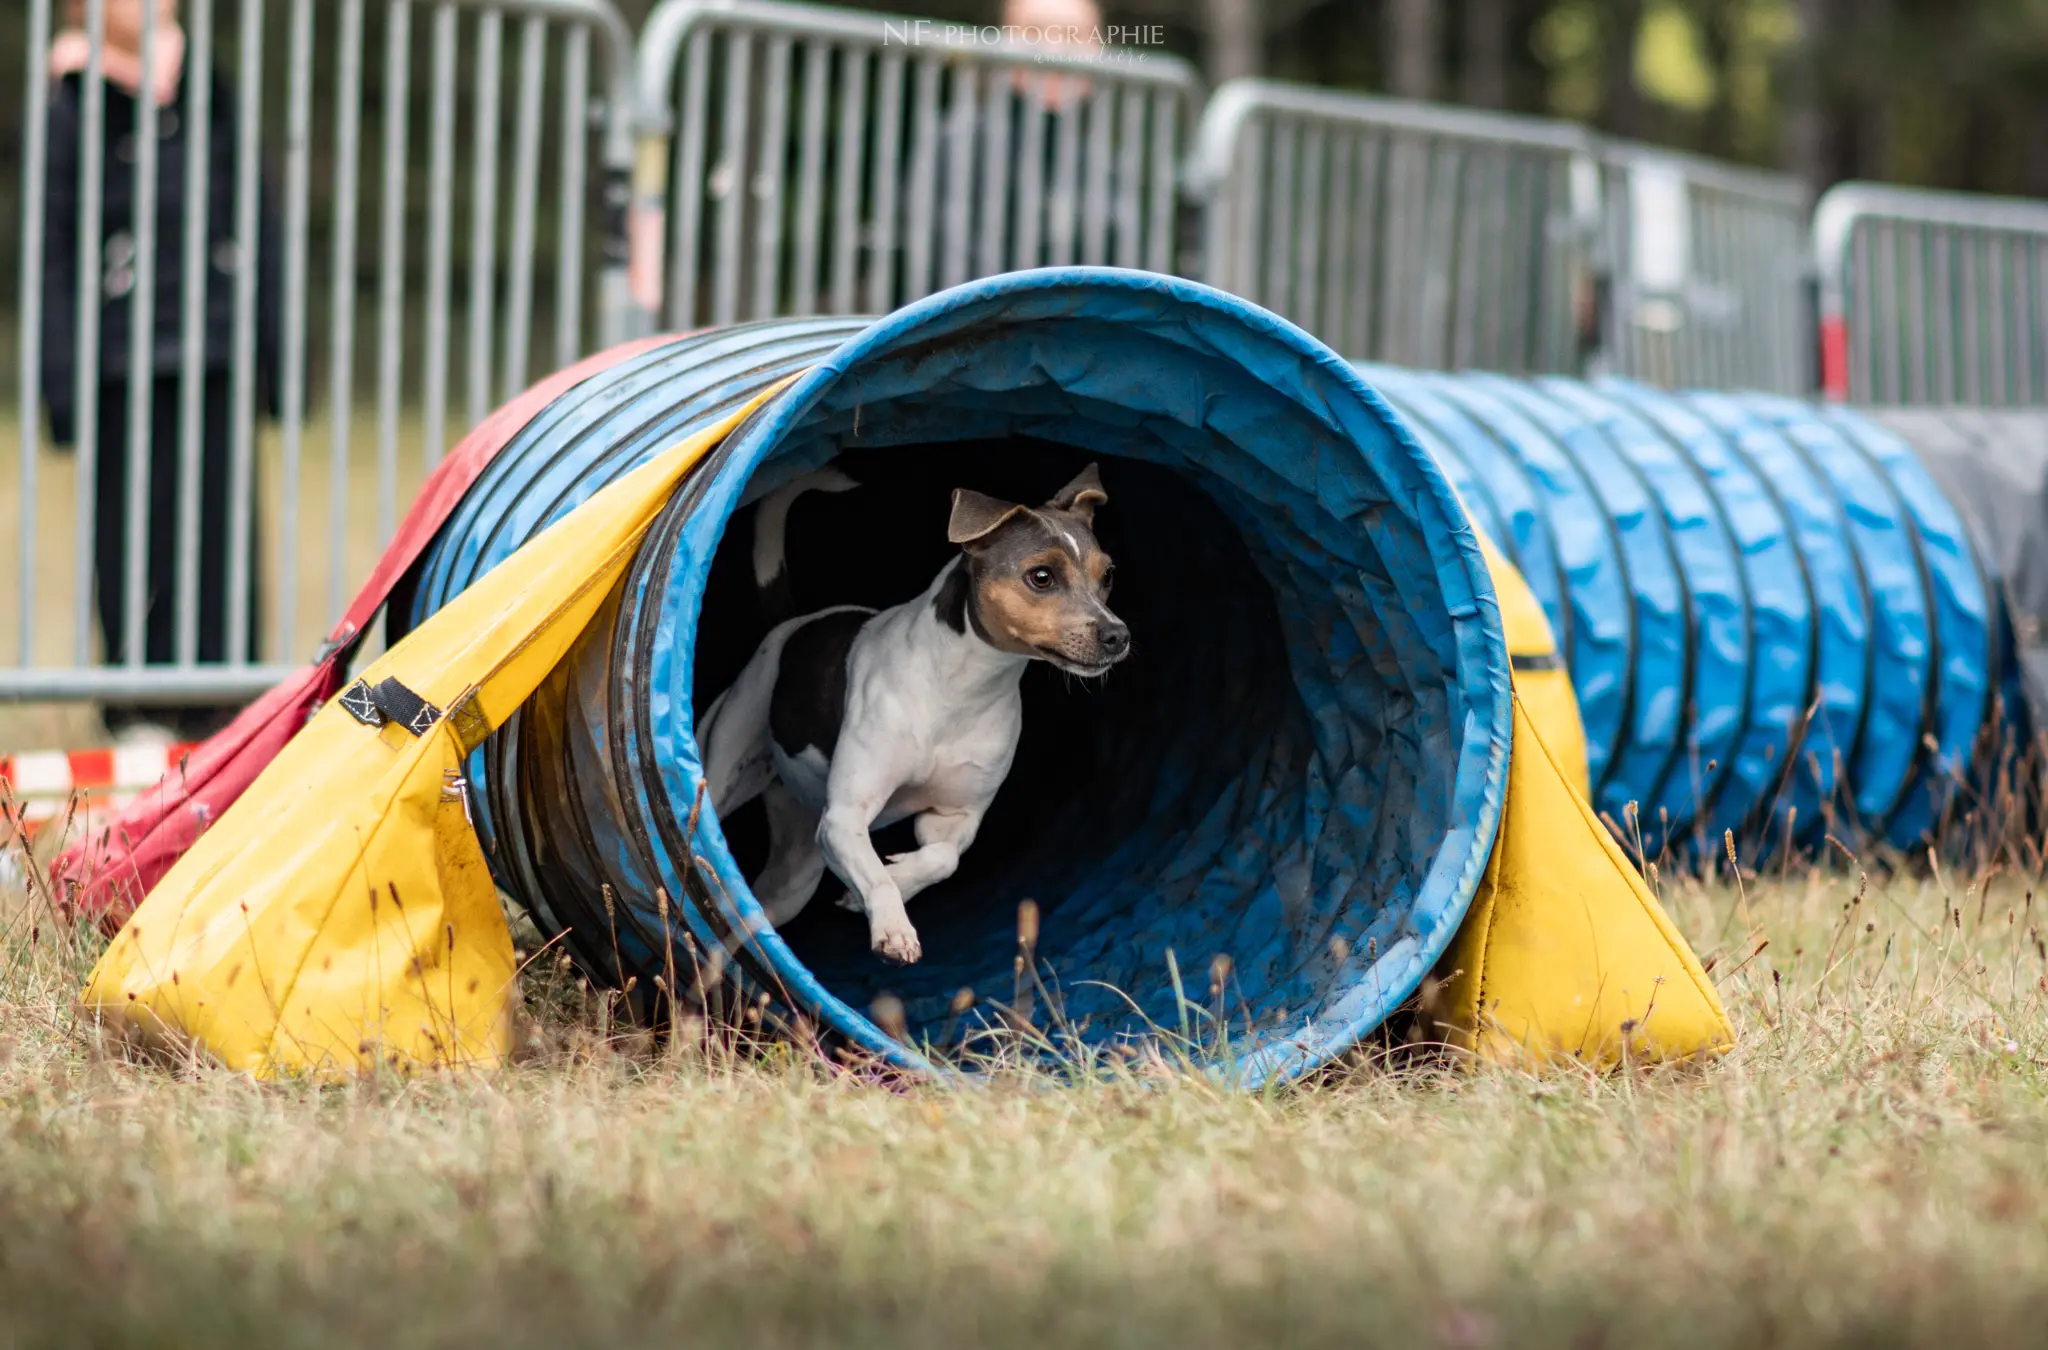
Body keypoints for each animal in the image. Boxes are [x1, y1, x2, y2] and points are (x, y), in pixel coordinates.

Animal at [696, 462, 1130, 962]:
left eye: (1108, 575)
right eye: (1041, 577)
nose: (1118, 635)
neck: (963, 688)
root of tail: (792, 623)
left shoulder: (953, 818)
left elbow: (943, 859)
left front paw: (891, 882)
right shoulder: (845, 818)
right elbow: (877, 876)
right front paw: (893, 927)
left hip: (795, 873)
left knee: (746, 919)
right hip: (725, 763)